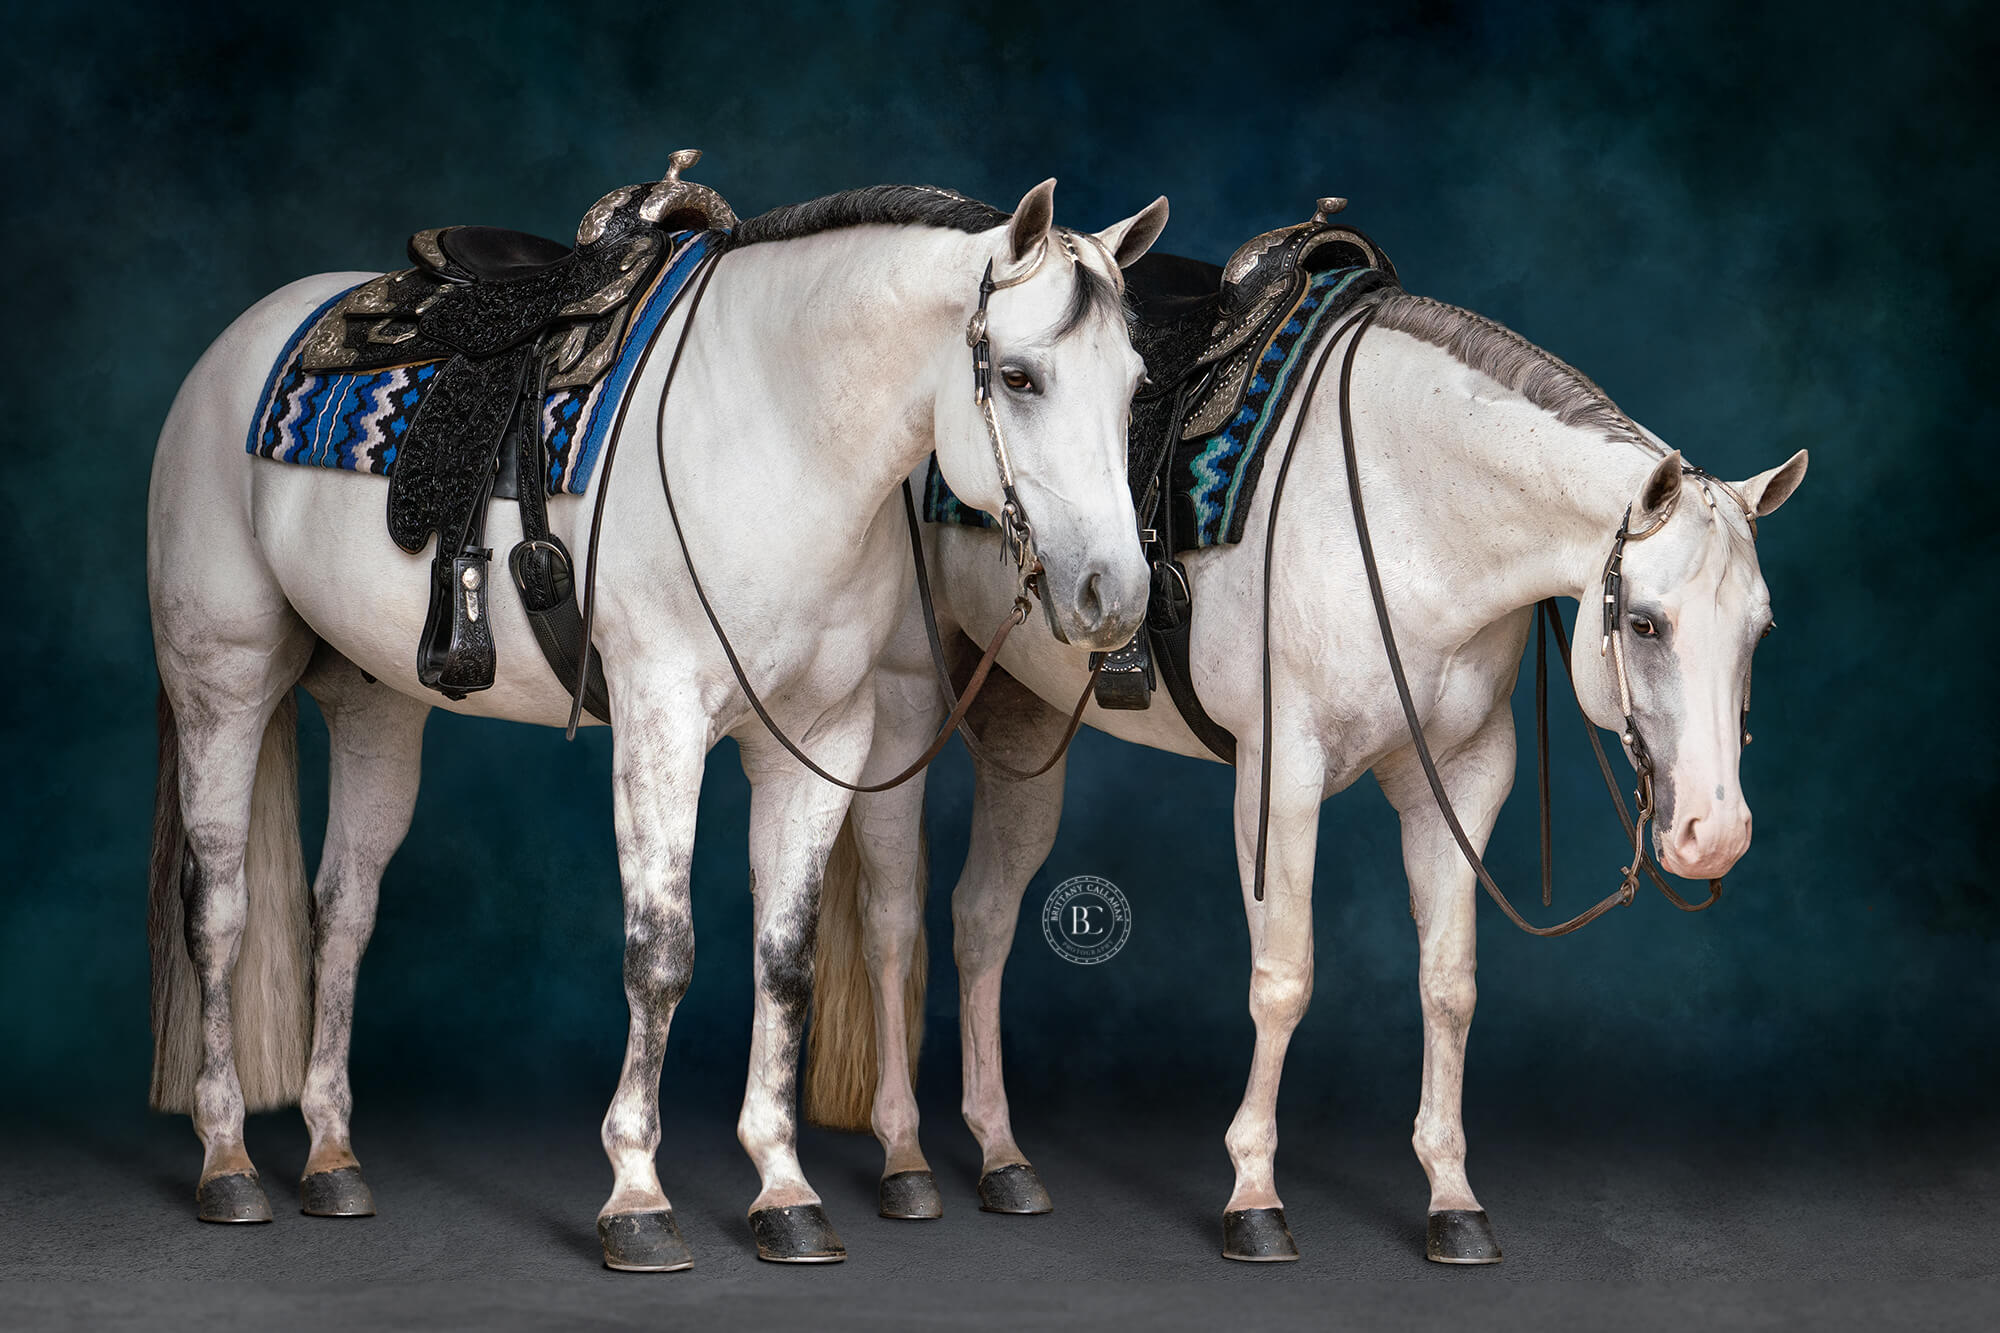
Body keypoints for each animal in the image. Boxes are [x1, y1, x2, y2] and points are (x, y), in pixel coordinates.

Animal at [145, 168, 1172, 1270]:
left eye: (1131, 385)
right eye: (1018, 378)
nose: (1113, 595)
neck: (776, 433)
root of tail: (234, 345)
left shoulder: (821, 741)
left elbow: (785, 960)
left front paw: (784, 1189)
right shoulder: (661, 723)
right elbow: (662, 952)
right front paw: (636, 1194)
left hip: (378, 703)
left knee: (342, 909)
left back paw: (332, 1158)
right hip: (222, 681)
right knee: (220, 907)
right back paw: (227, 1159)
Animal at [803, 259, 1809, 1264]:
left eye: (1761, 630)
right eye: (1644, 623)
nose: (1714, 833)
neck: (1408, 510)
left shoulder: (1466, 778)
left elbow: (1449, 986)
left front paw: (1452, 1198)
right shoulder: (1280, 777)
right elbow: (1284, 978)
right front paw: (1253, 1195)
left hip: (1023, 718)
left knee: (981, 918)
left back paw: (1002, 1156)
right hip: (903, 705)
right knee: (893, 922)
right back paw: (905, 1160)